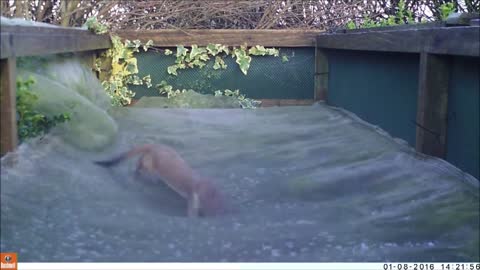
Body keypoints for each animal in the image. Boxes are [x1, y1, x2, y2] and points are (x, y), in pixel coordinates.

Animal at [96, 143, 228, 217]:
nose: (220, 213)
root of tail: (155, 145)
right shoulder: (193, 197)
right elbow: (191, 210)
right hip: (150, 162)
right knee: (140, 165)